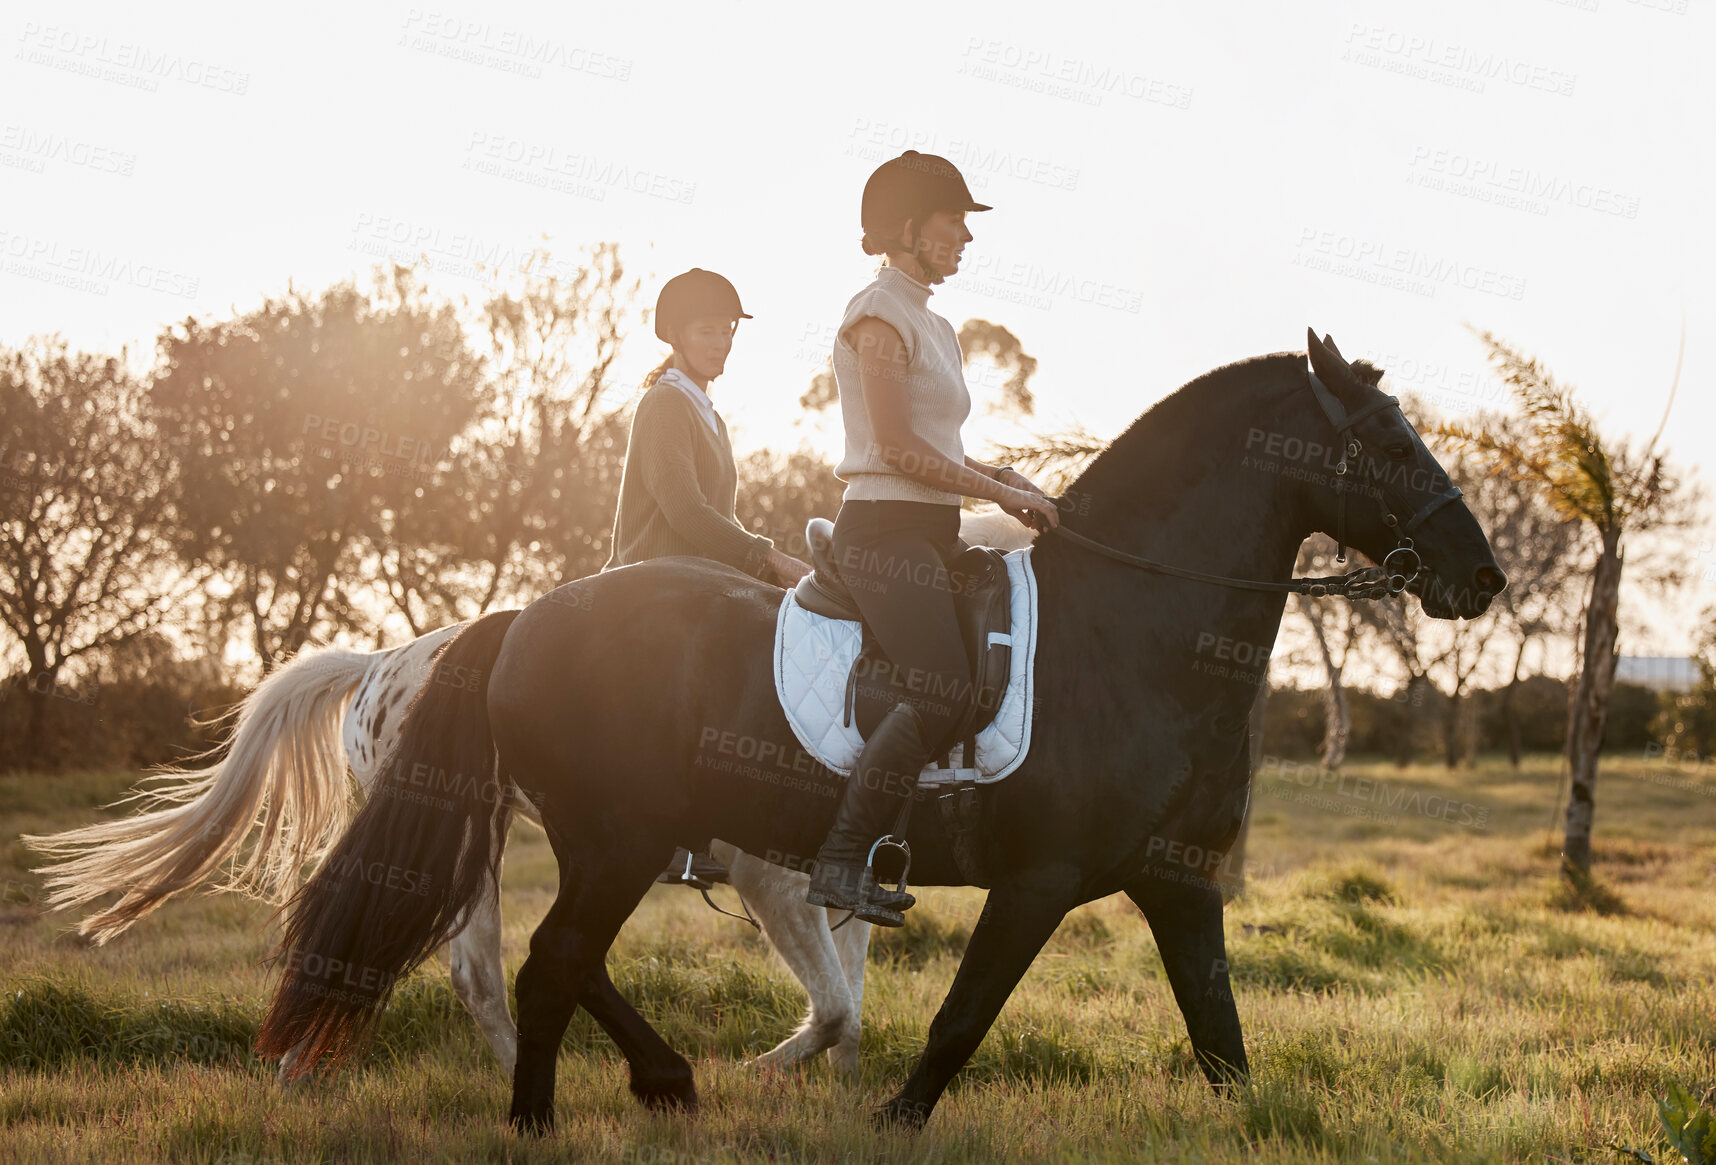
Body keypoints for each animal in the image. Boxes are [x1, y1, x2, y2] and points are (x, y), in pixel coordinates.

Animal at [250, 332, 1503, 1132]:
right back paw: (549, 1117)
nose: (1481, 576)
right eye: (1391, 444)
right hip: (616, 837)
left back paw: (653, 1083)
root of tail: (525, 618)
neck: (1132, 628)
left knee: (564, 960)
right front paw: (891, 1116)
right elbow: (957, 1020)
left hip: (612, 841)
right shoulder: (1038, 880)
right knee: (550, 960)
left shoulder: (1179, 881)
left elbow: (1222, 1040)